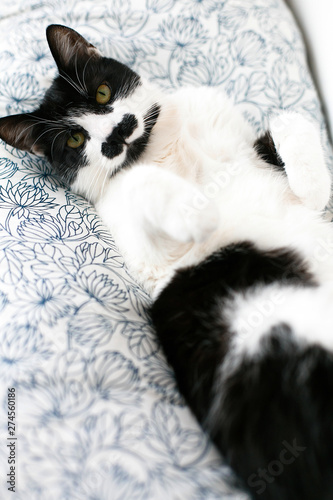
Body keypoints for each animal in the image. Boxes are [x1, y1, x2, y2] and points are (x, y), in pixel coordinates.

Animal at [0, 24, 332, 500]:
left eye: (102, 92)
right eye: (75, 141)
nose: (116, 133)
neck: (158, 146)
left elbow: (293, 120)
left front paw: (310, 181)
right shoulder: (150, 255)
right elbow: (139, 183)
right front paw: (199, 211)